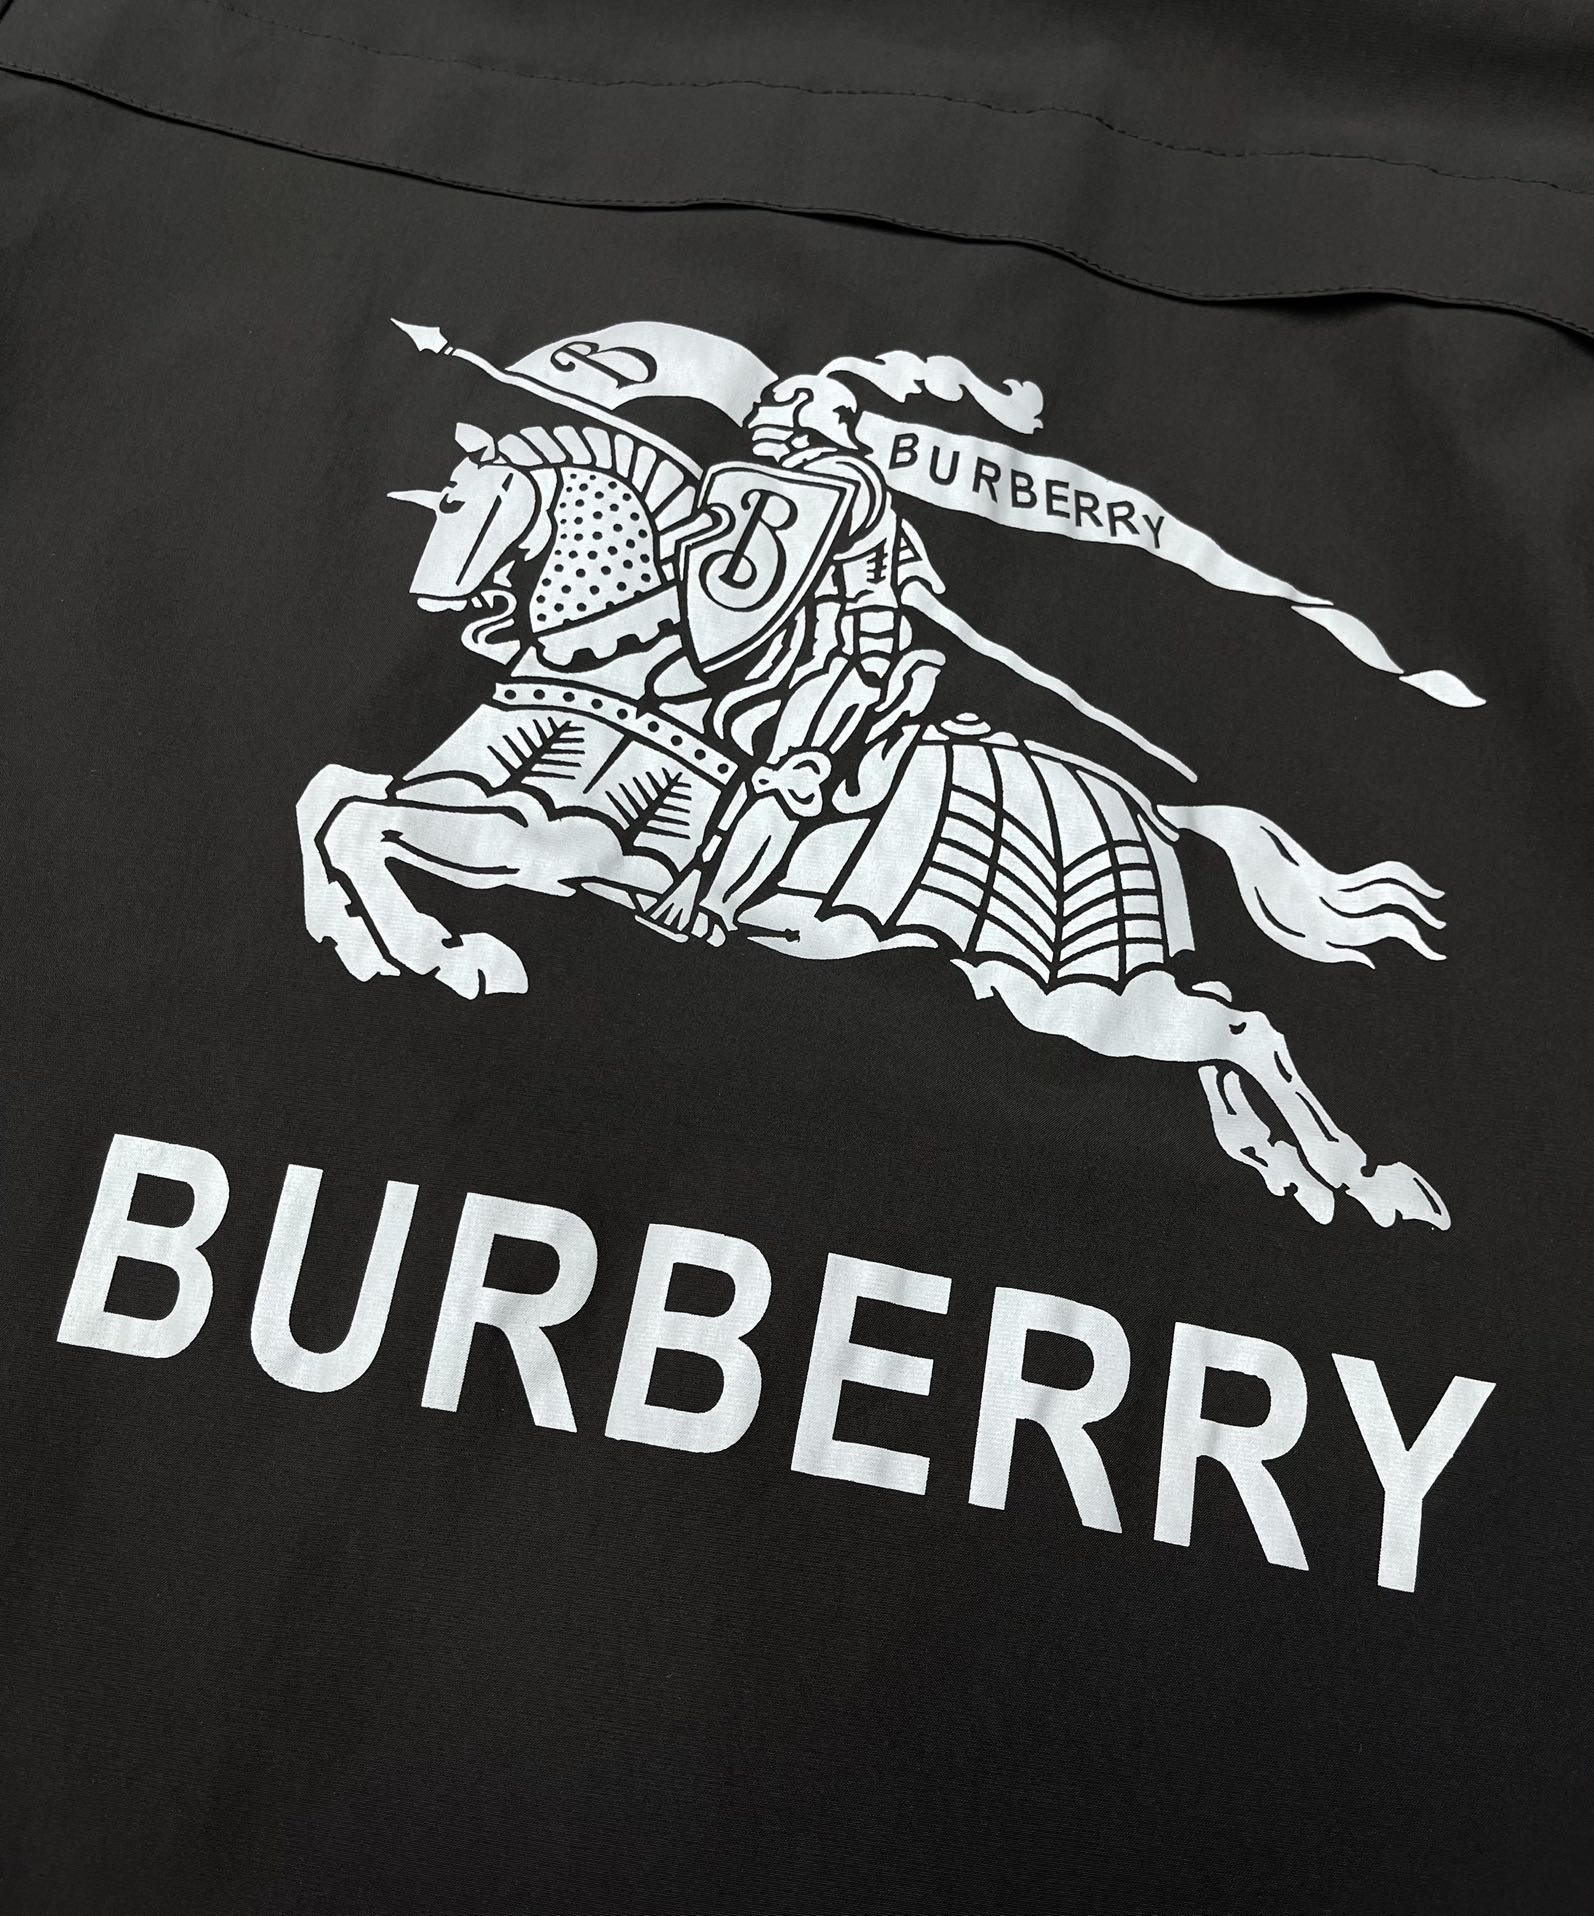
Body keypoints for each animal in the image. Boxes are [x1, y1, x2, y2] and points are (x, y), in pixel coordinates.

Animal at [297, 416, 1452, 1230]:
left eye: (463, 502)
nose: (432, 599)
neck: (619, 661)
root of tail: (1157, 809)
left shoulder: (545, 839)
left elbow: (358, 819)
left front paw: (441, 950)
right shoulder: (474, 801)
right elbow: (331, 797)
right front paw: (349, 937)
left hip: (1076, 995)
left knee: (1242, 1030)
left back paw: (1356, 1173)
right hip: (1112, 990)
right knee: (1216, 1028)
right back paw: (1288, 1168)